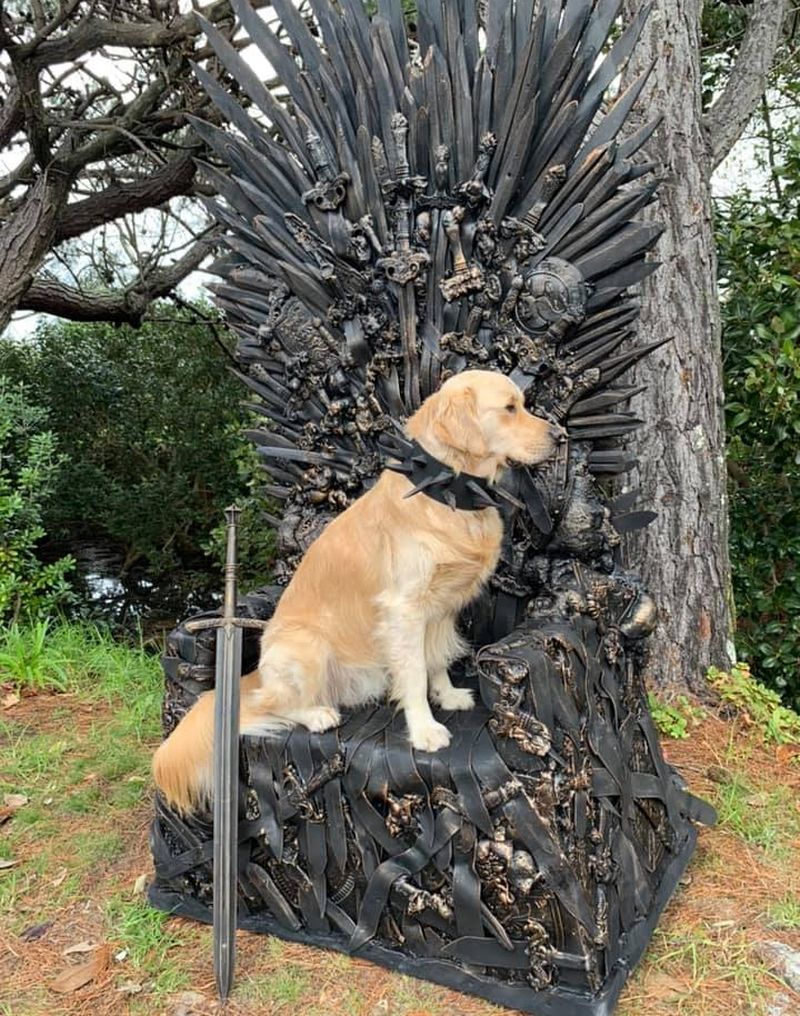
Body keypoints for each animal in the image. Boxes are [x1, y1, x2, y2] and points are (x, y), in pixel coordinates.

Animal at [153, 369, 561, 812]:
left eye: (523, 404)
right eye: (509, 408)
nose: (560, 435)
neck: (447, 491)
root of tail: (255, 675)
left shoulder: (440, 609)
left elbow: (435, 658)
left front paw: (448, 695)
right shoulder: (404, 609)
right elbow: (414, 673)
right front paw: (425, 730)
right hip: (307, 647)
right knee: (271, 704)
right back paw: (316, 714)